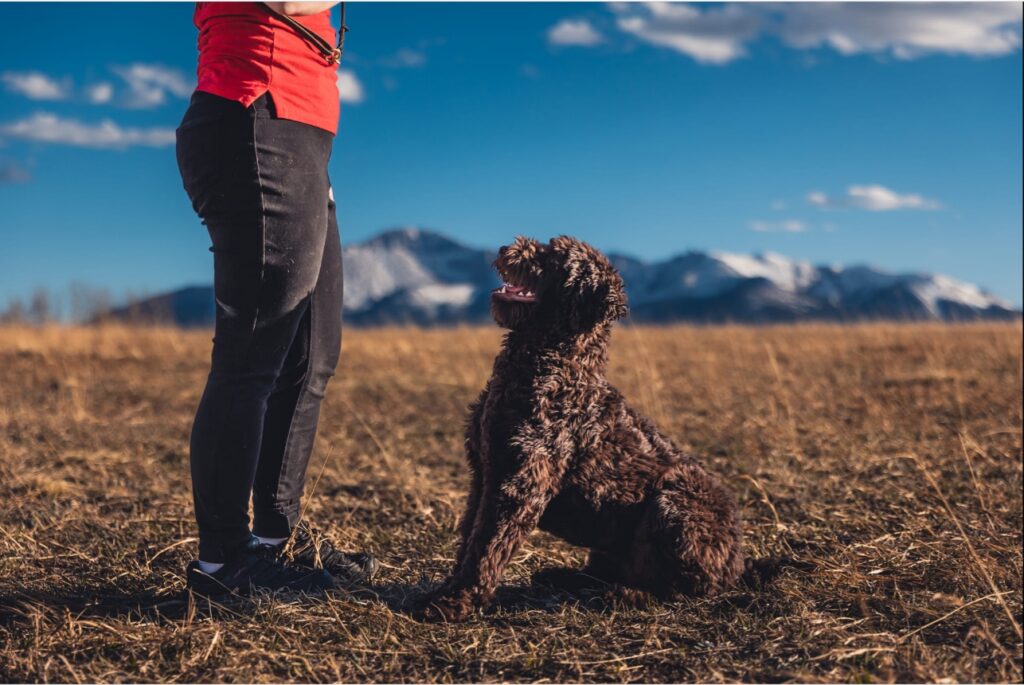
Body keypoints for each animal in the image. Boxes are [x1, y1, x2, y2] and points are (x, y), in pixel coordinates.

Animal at [419, 235, 749, 618]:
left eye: (553, 257)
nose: (503, 249)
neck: (550, 365)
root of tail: (737, 565)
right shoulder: (485, 473)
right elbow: (470, 537)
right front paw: (452, 589)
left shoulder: (520, 482)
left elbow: (489, 544)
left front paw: (455, 601)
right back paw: (562, 576)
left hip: (673, 506)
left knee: (678, 588)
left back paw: (623, 595)